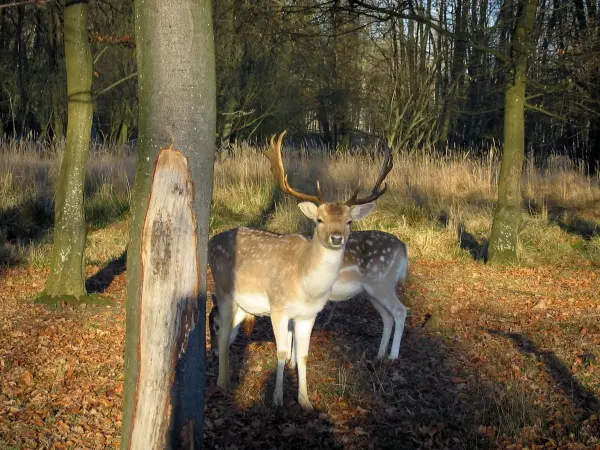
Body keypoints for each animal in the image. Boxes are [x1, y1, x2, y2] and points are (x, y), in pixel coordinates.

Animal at [207, 131, 394, 412]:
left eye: (349, 221)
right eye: (319, 219)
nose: (336, 237)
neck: (306, 286)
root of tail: (210, 242)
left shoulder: (308, 315)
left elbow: (304, 355)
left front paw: (305, 401)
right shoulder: (278, 307)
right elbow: (282, 352)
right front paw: (276, 399)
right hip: (224, 290)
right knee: (223, 331)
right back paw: (222, 382)